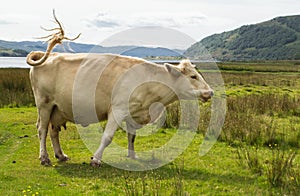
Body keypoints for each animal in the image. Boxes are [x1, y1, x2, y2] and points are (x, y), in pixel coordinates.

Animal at [26, 11, 213, 167]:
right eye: (193, 76)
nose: (210, 92)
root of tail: (51, 55)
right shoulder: (117, 109)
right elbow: (107, 137)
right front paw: (96, 159)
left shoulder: (134, 112)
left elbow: (132, 136)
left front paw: (132, 155)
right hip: (44, 104)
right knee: (42, 129)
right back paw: (44, 158)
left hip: (57, 109)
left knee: (53, 131)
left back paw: (60, 155)